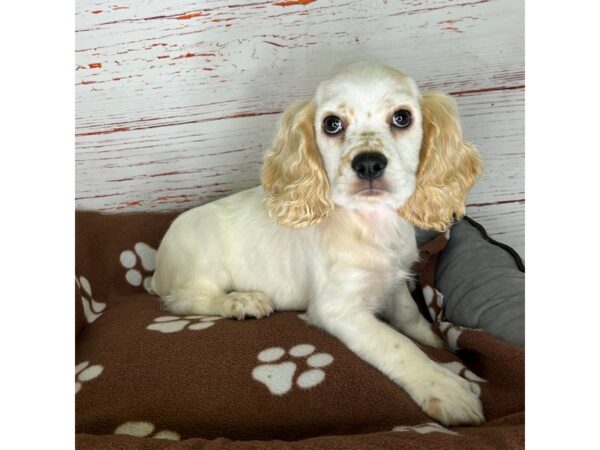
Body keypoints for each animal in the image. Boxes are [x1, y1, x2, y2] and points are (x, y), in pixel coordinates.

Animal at [150, 62, 482, 426]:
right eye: (332, 123)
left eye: (402, 117)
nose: (368, 163)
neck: (371, 222)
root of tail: (157, 268)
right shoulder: (339, 309)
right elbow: (398, 345)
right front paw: (445, 386)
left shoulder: (394, 283)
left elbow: (412, 320)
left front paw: (442, 344)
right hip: (202, 257)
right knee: (184, 300)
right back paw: (242, 301)